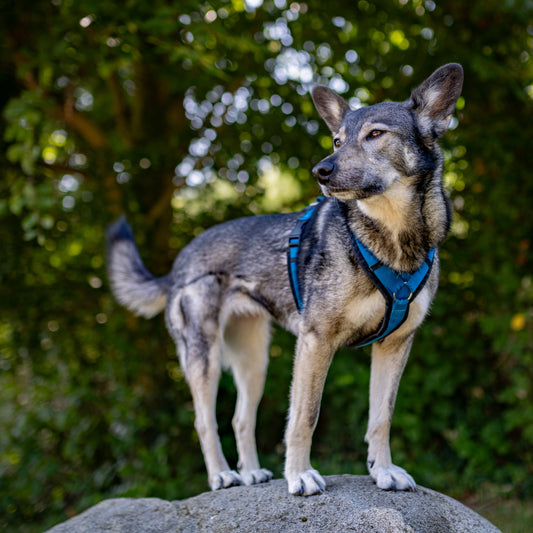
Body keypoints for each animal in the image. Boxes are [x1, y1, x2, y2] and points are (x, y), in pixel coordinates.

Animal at [107, 62, 462, 494]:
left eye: (376, 134)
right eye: (337, 140)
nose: (321, 171)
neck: (390, 237)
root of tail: (177, 264)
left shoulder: (395, 345)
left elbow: (381, 417)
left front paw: (382, 470)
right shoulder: (315, 341)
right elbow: (304, 417)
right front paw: (299, 475)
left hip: (254, 361)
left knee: (240, 418)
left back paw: (250, 473)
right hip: (204, 358)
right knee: (204, 420)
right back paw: (222, 474)